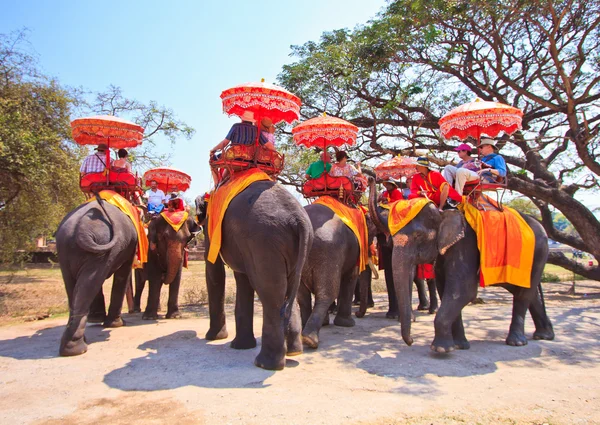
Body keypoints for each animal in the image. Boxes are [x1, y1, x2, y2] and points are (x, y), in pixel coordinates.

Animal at [54, 197, 138, 356]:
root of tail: (82, 227)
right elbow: (122, 274)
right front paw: (117, 324)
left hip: (72, 249)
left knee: (81, 285)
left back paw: (72, 347)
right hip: (93, 245)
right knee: (90, 282)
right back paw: (77, 348)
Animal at [196, 181, 314, 370]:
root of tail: (298, 219)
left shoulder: (211, 224)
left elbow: (214, 270)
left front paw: (214, 338)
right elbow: (242, 278)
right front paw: (239, 346)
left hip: (264, 241)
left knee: (271, 293)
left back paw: (265, 364)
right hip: (296, 243)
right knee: (288, 289)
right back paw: (294, 352)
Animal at [300, 203, 376, 348]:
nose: (358, 313)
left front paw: (328, 323)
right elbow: (350, 277)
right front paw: (347, 324)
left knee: (301, 295)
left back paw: (304, 331)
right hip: (328, 251)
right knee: (327, 294)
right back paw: (309, 339)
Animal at [368, 177, 556, 350]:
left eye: (418, 236)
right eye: (390, 237)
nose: (411, 341)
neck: (443, 210)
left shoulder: (466, 242)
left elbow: (462, 289)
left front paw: (441, 348)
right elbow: (446, 287)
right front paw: (459, 345)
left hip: (539, 251)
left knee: (524, 292)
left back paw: (516, 341)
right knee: (525, 290)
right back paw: (544, 335)